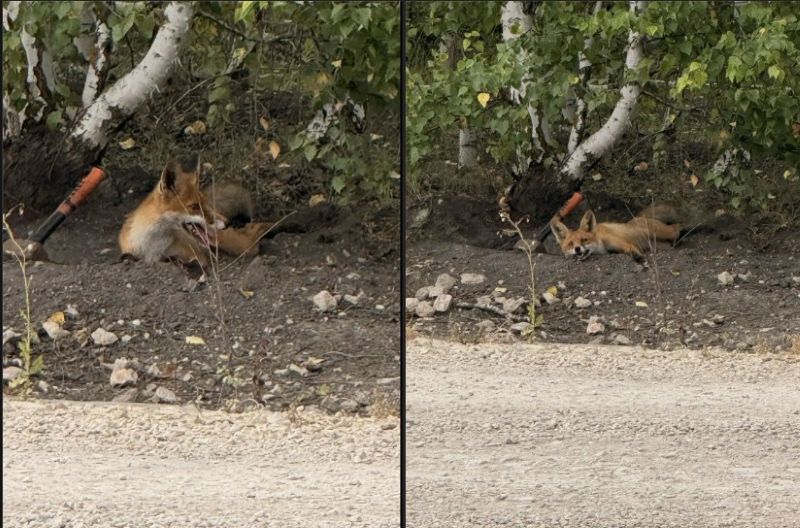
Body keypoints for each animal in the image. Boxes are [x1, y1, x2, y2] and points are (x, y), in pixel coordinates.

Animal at [118, 159, 271, 268]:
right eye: (195, 206)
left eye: (205, 203)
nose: (227, 222)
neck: (154, 245)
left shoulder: (198, 256)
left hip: (237, 244)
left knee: (252, 239)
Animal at [550, 204, 685, 261]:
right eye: (570, 244)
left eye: (584, 240)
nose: (577, 249)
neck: (601, 245)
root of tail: (638, 217)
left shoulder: (620, 242)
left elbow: (630, 248)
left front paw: (637, 256)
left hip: (657, 232)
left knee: (676, 228)